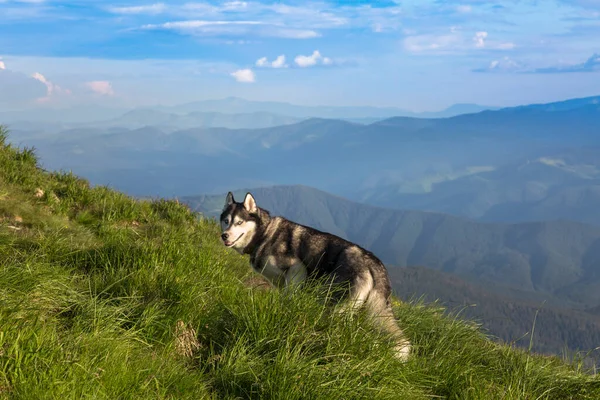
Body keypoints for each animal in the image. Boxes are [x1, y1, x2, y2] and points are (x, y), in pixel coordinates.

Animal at [220, 192, 412, 360]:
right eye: (226, 221)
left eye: (239, 222)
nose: (224, 236)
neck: (264, 234)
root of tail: (373, 263)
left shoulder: (297, 269)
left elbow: (289, 299)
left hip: (337, 307)